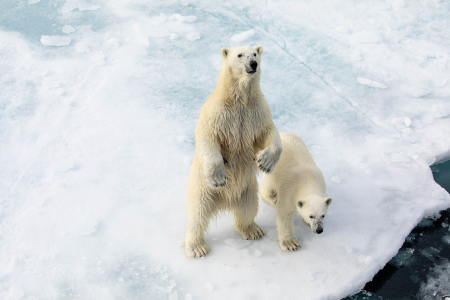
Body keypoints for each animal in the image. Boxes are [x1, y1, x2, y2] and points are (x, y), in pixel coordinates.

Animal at [183, 44, 282, 258]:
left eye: (255, 53)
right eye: (239, 55)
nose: (253, 64)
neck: (239, 100)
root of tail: (225, 203)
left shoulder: (256, 112)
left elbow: (269, 133)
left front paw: (265, 162)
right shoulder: (218, 113)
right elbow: (208, 138)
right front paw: (219, 177)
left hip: (248, 190)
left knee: (248, 209)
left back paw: (253, 230)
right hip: (202, 189)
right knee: (197, 214)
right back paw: (197, 247)